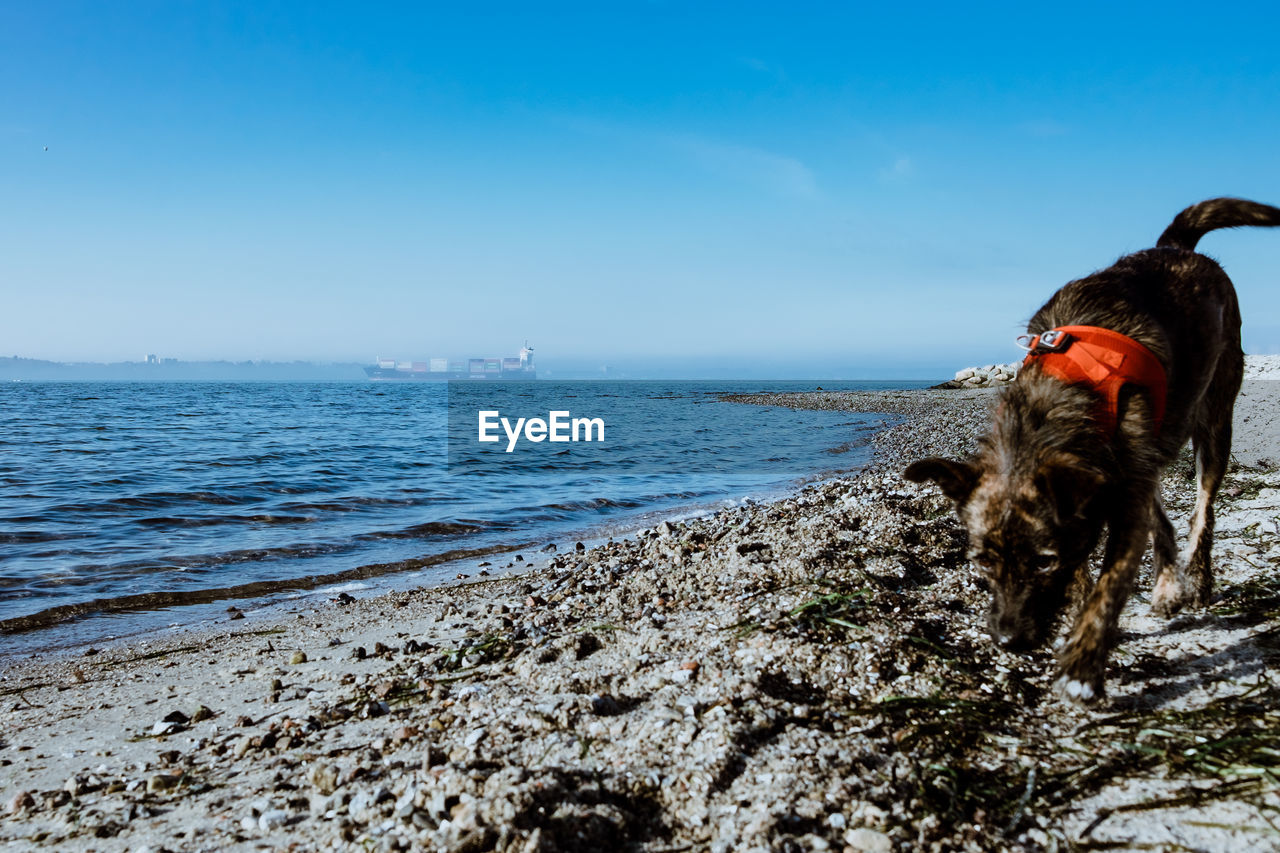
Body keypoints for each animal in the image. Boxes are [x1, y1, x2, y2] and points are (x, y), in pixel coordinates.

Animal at [901, 199, 1280, 701]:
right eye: (982, 562)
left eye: (1044, 561)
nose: (1009, 641)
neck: (1051, 409)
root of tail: (1176, 249)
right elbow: (1086, 568)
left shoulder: (1117, 506)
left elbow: (1109, 586)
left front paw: (1082, 666)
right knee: (1162, 513)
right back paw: (1166, 585)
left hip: (1214, 418)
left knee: (1204, 507)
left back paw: (1197, 579)